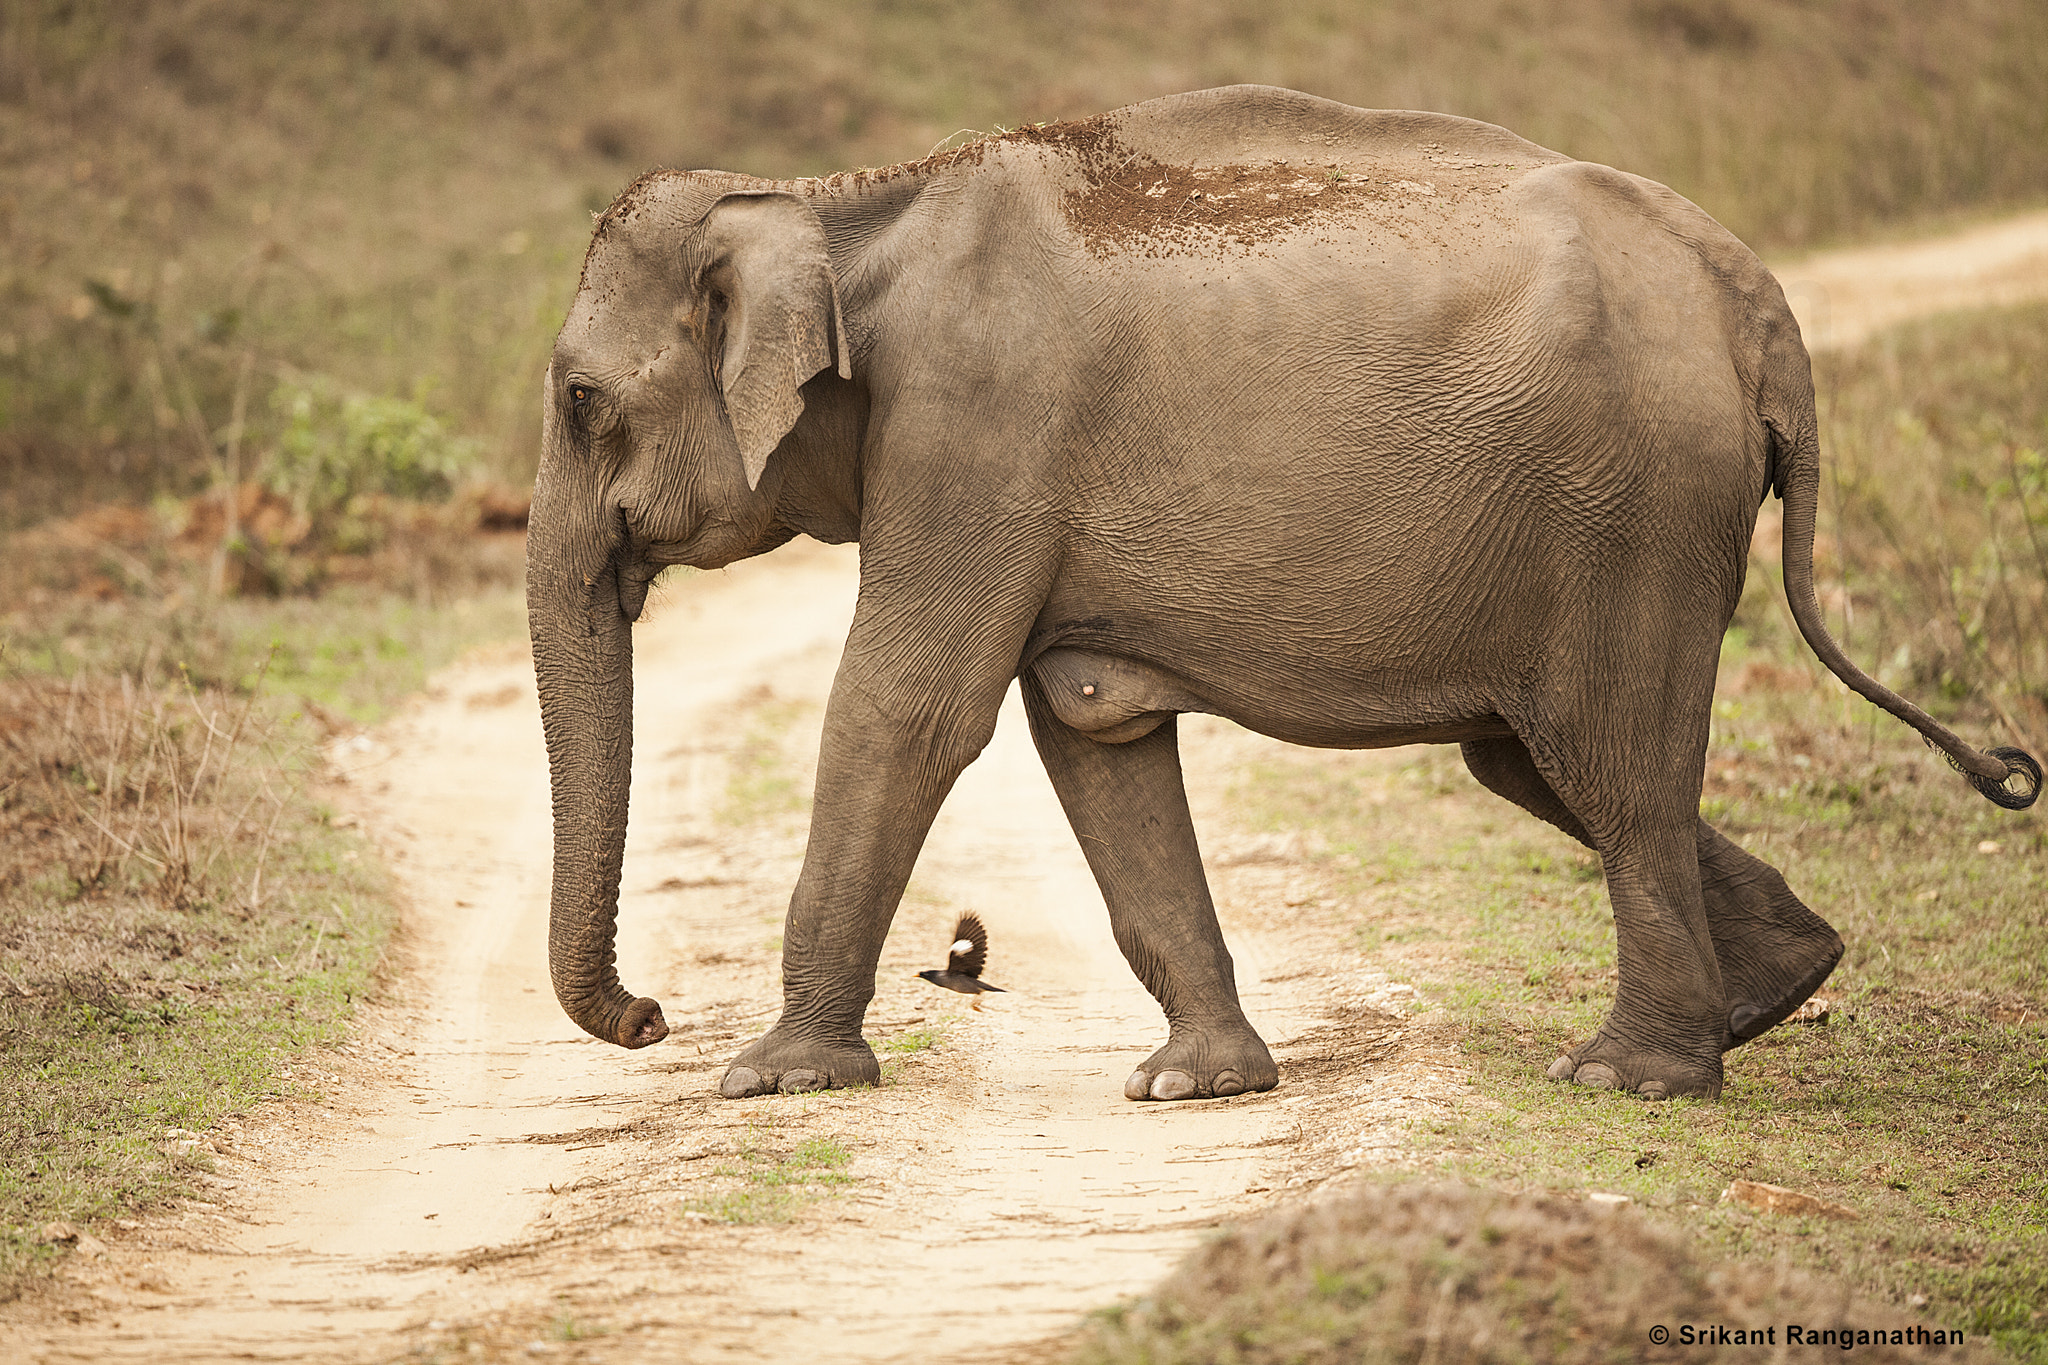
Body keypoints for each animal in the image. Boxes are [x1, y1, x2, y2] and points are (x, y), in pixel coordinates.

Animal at [526, 85, 2039, 1105]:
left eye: (583, 401)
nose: (649, 1016)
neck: (833, 200)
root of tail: (1755, 299)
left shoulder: (973, 432)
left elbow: (908, 711)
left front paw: (770, 1079)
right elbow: (1096, 731)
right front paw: (1197, 1084)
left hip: (1639, 511)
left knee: (1610, 772)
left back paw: (1631, 1078)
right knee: (1537, 762)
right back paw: (1776, 989)